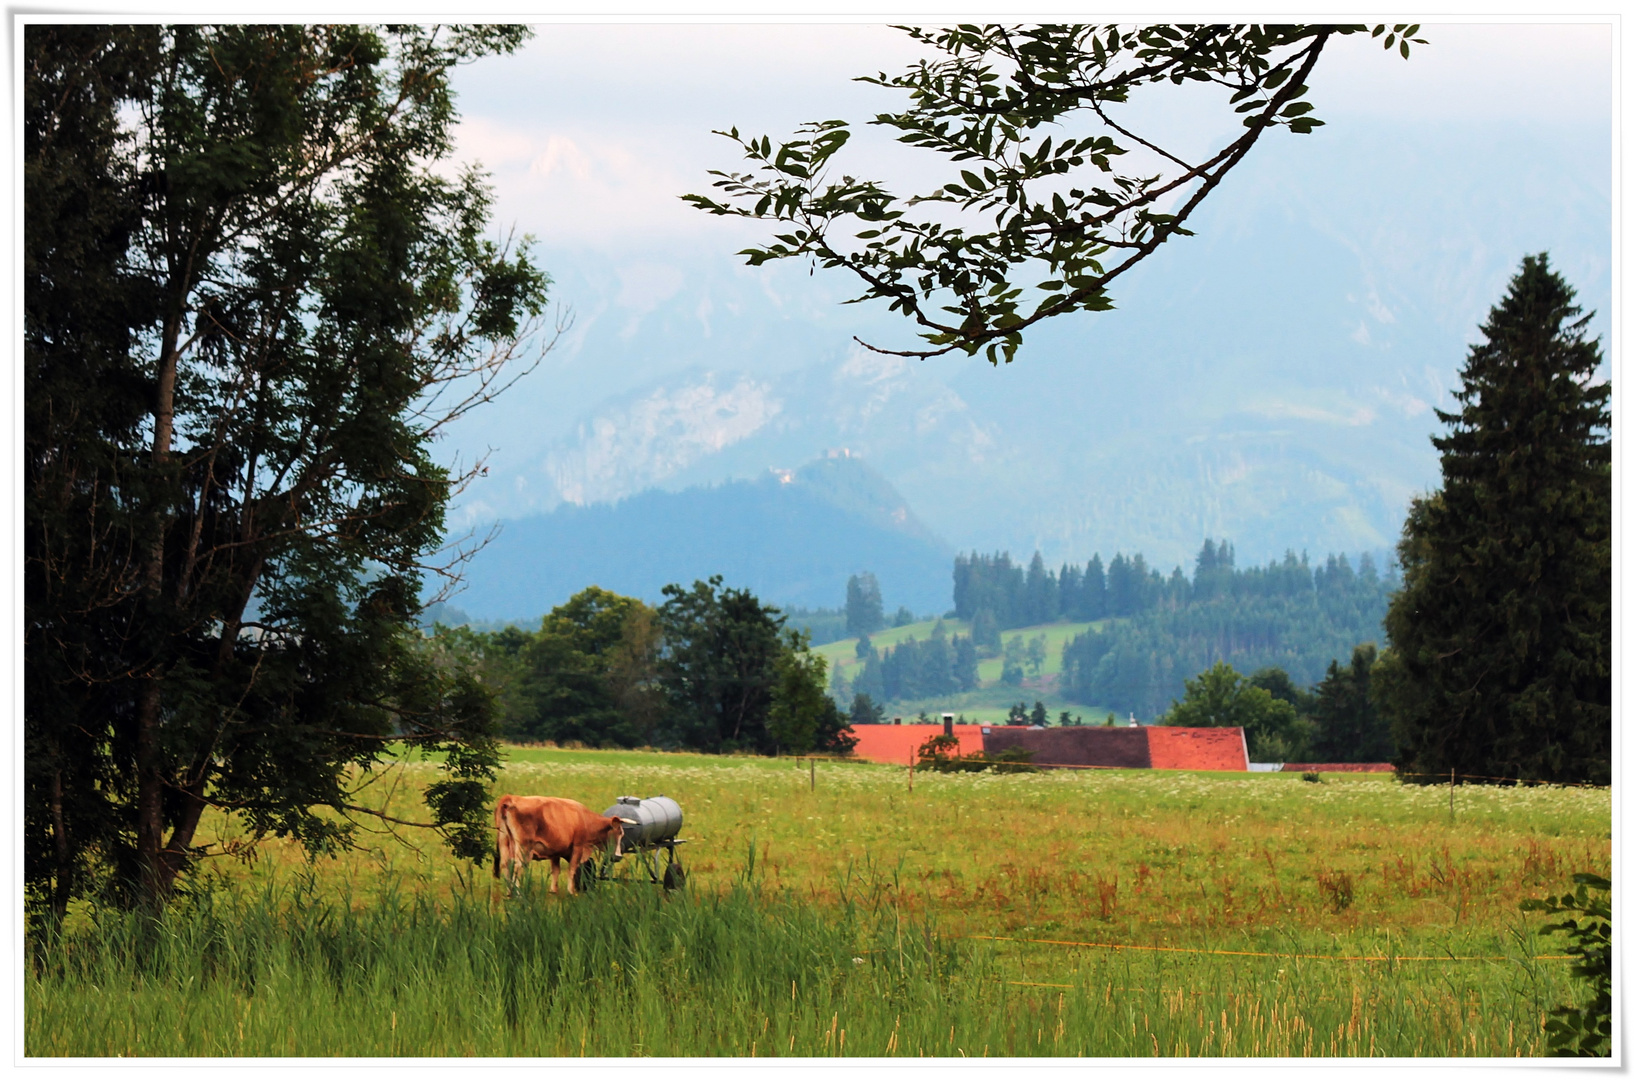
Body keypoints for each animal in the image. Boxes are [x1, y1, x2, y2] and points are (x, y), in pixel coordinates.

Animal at [486, 790, 627, 895]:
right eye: (619, 833)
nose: (618, 856)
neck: (585, 818)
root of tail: (510, 798)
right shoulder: (578, 846)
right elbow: (572, 869)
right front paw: (571, 891)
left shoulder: (555, 851)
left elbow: (556, 870)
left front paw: (553, 890)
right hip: (523, 846)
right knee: (518, 865)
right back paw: (518, 893)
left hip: (504, 841)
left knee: (505, 864)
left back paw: (509, 892)